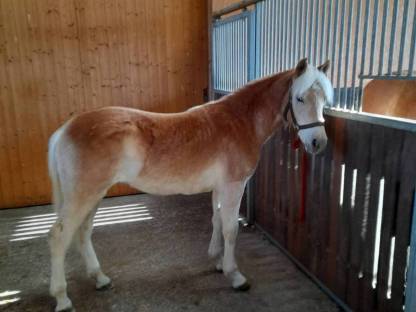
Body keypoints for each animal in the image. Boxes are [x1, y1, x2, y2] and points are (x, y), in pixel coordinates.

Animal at [47, 59, 334, 312]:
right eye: (299, 98)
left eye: (324, 101)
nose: (318, 143)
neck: (241, 121)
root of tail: (64, 130)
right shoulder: (234, 185)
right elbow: (231, 229)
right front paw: (235, 276)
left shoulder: (220, 187)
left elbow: (216, 220)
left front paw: (217, 261)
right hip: (84, 195)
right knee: (59, 237)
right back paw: (62, 298)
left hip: (95, 195)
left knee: (83, 232)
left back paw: (100, 278)